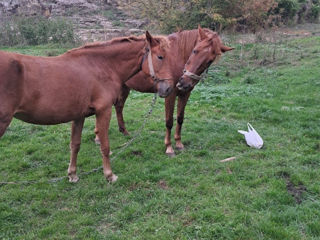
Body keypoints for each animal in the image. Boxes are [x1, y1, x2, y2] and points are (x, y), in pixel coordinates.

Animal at [0, 31, 174, 182]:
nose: (168, 89)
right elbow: (105, 145)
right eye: (160, 57)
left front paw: (72, 175)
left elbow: (75, 145)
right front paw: (109, 175)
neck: (101, 66)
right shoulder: (104, 111)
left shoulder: (79, 116)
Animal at [98, 26, 232, 157]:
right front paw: (169, 147)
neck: (177, 56)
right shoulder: (170, 94)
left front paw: (179, 143)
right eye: (195, 51)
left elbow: (180, 118)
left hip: (125, 88)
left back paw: (124, 131)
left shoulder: (185, 93)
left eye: (210, 60)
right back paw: (98, 138)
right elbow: (169, 121)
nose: (184, 82)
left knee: (119, 106)